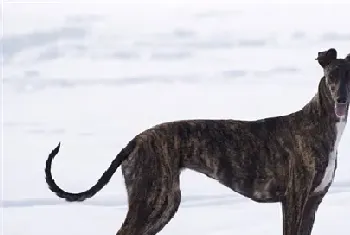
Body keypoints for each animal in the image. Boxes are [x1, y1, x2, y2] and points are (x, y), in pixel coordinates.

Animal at [45, 48, 348, 235]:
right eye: (331, 75)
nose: (342, 100)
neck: (318, 124)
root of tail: (135, 141)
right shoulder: (293, 200)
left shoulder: (312, 203)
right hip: (152, 199)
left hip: (164, 203)